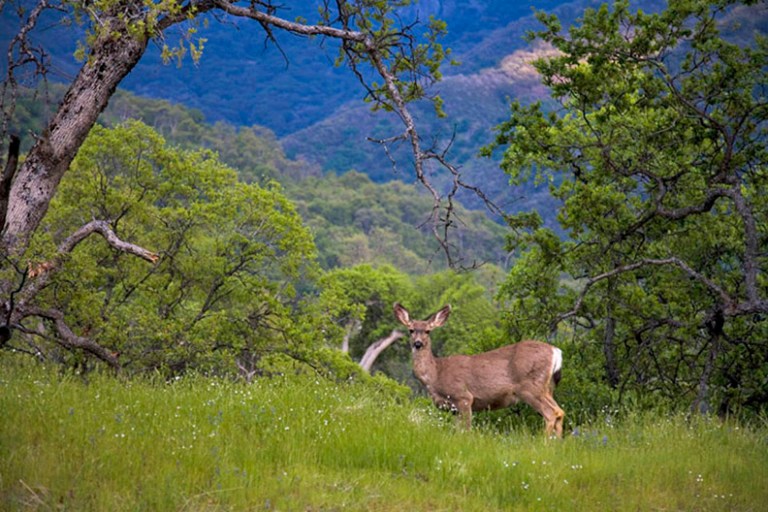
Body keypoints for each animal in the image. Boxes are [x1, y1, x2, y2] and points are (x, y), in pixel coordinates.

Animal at [394, 303, 565, 437]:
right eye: (411, 330)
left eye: (428, 331)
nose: (418, 344)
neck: (435, 375)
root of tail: (555, 351)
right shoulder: (453, 408)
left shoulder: (463, 396)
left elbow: (466, 430)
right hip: (546, 387)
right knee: (560, 411)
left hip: (530, 387)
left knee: (552, 413)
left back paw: (544, 443)